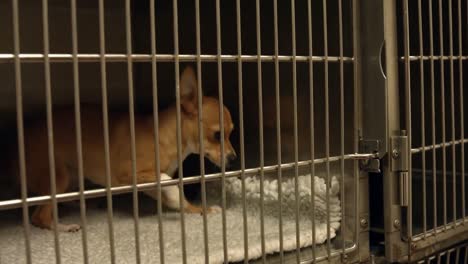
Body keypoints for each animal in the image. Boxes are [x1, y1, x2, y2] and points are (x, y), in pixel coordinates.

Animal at [20, 67, 236, 232]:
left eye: (231, 133)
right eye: (218, 135)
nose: (234, 159)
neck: (164, 138)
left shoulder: (148, 184)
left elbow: (176, 199)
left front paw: (201, 210)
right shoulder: (129, 175)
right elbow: (170, 183)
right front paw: (179, 195)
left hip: (72, 175)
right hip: (58, 176)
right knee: (39, 217)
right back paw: (64, 226)